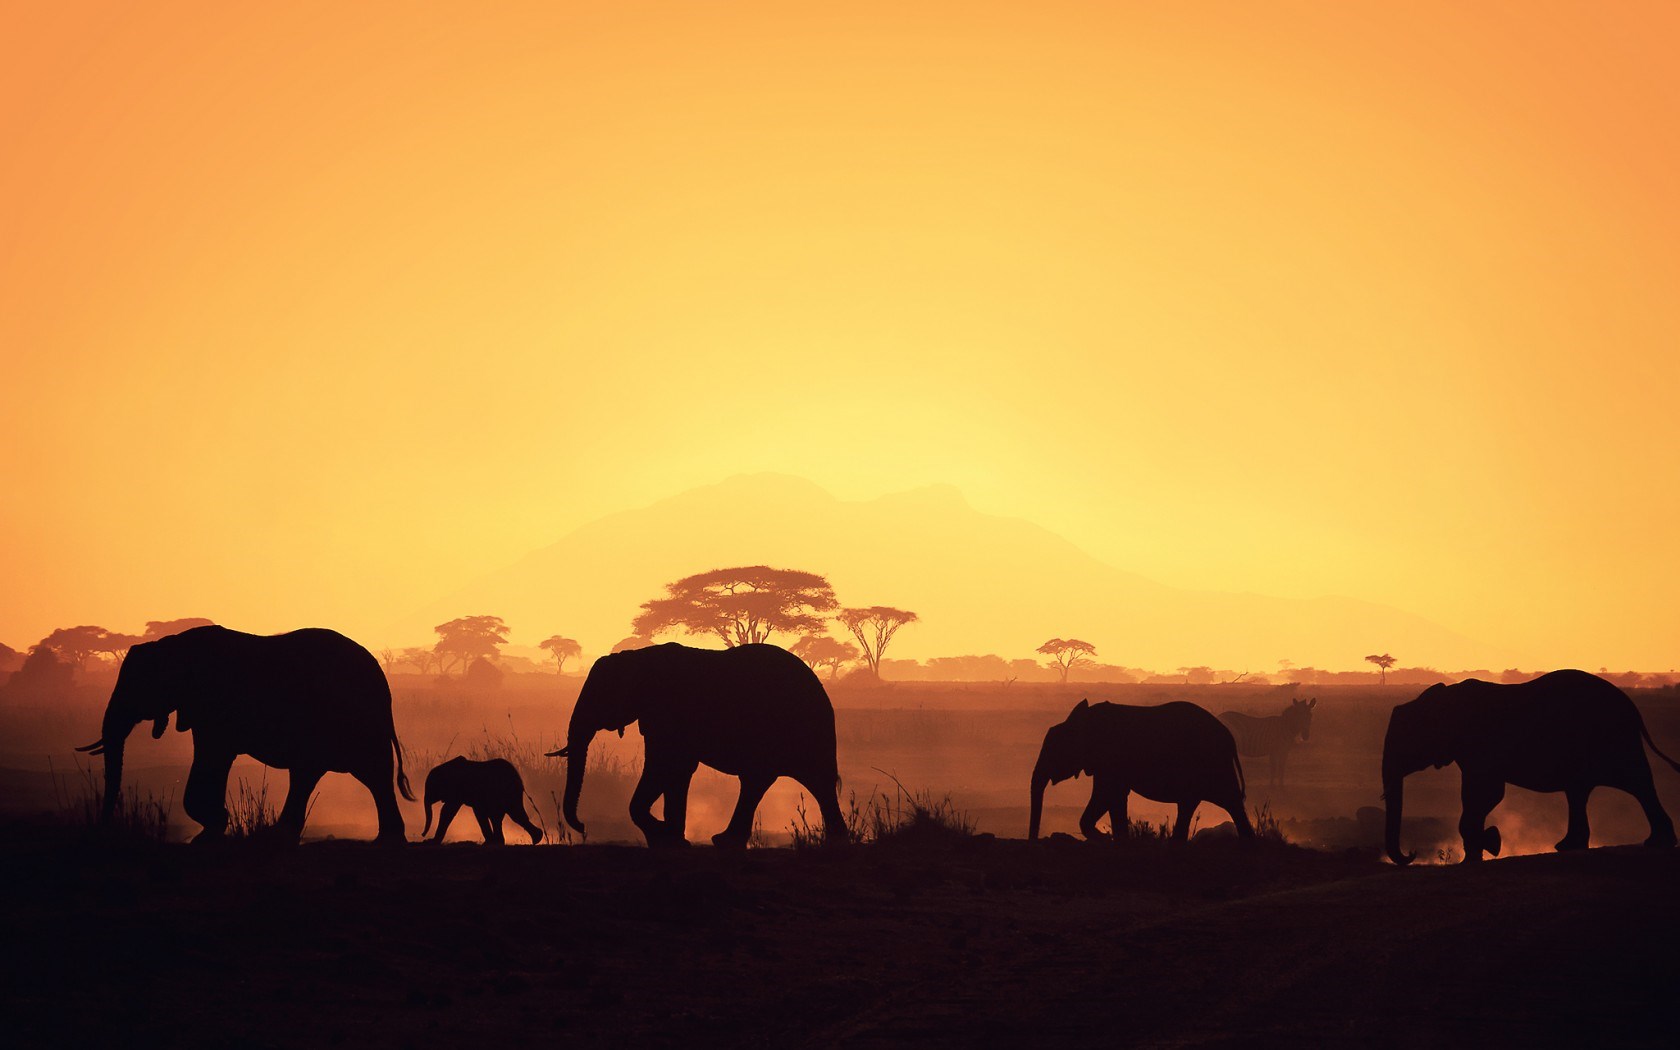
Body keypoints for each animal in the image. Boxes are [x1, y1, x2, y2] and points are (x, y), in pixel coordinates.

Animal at [76, 621, 420, 843]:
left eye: (136, 686)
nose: (104, 831)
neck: (171, 645)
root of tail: (383, 684)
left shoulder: (215, 704)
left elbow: (213, 756)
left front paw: (211, 829)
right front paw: (212, 829)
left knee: (363, 771)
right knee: (326, 774)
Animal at [544, 638, 846, 853]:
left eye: (598, 697)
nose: (582, 826)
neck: (637, 657)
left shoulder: (670, 712)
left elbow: (664, 766)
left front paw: (666, 836)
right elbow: (676, 771)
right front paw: (671, 839)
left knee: (804, 780)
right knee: (773, 782)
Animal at [1021, 698, 1249, 840]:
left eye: (1054, 749)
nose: (1033, 840)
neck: (1082, 720)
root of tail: (1230, 738)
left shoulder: (1109, 759)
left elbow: (1107, 794)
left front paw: (1108, 838)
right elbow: (1112, 797)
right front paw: (1112, 838)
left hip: (1211, 763)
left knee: (1225, 801)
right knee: (1210, 803)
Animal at [1377, 668, 1680, 866]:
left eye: (1405, 741)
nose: (1412, 854)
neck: (1440, 700)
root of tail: (1631, 706)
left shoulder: (1482, 746)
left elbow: (1485, 794)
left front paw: (1486, 847)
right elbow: (1482, 796)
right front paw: (1484, 847)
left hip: (1614, 738)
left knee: (1637, 783)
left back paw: (1657, 843)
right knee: (1580, 791)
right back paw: (1569, 846)